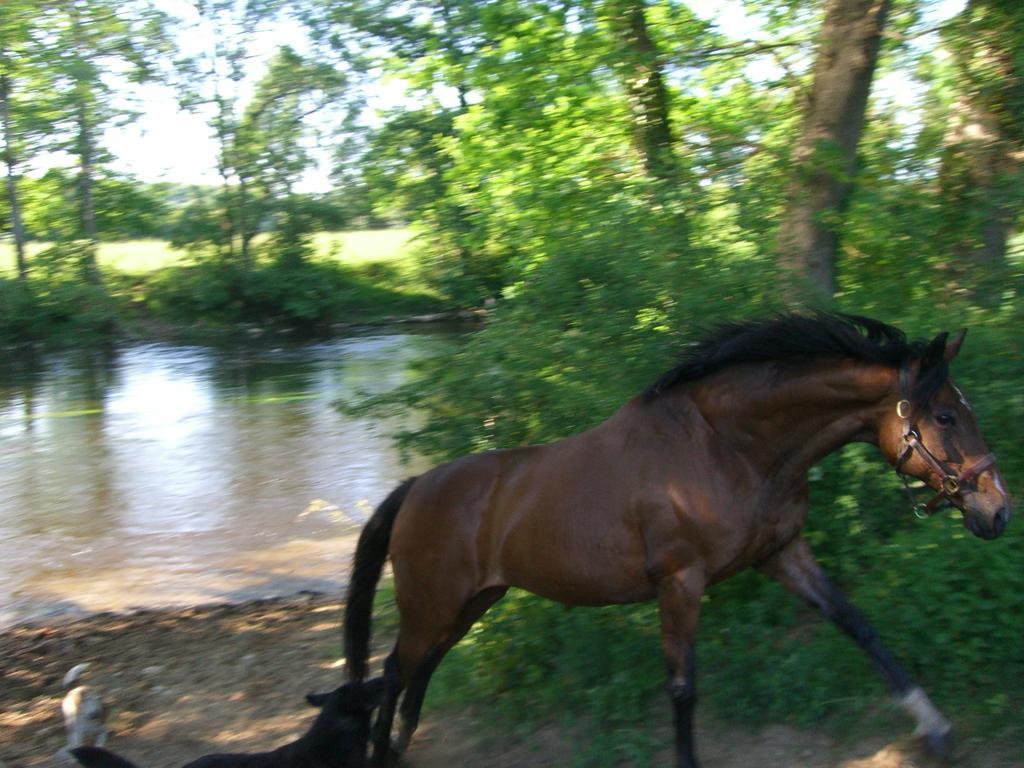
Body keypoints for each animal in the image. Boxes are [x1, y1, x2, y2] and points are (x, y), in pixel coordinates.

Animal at [342, 313, 1007, 768]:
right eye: (946, 416)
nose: (997, 510)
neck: (728, 446)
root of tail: (416, 487)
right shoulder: (681, 582)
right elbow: (684, 689)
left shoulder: (781, 554)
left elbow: (860, 627)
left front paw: (936, 727)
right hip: (432, 604)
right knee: (395, 670)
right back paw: (379, 753)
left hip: (472, 602)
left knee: (421, 668)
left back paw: (398, 747)